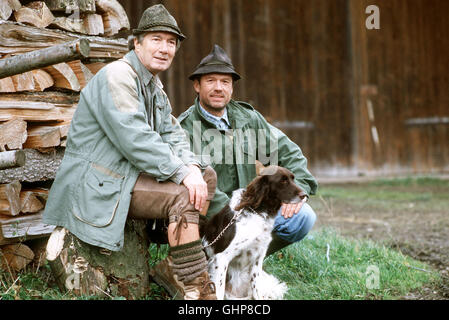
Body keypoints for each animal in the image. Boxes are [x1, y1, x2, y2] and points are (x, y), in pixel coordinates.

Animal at [200, 162, 304, 300]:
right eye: (283, 181)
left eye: (293, 178)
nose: (305, 195)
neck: (258, 212)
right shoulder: (221, 258)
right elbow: (219, 290)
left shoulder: (258, 257)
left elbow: (256, 289)